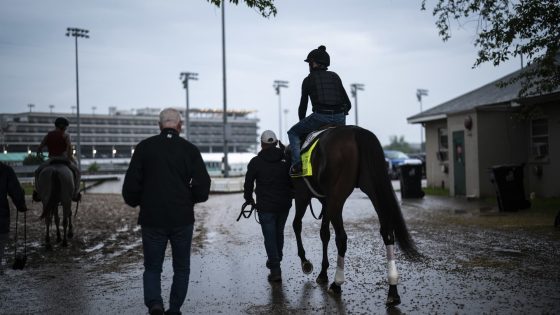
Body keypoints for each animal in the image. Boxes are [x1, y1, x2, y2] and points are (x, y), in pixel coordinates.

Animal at [290, 125, 418, 306]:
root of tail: (356, 132)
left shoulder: (303, 195)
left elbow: (297, 225)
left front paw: (305, 262)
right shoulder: (326, 201)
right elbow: (324, 233)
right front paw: (322, 272)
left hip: (337, 197)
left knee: (341, 238)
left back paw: (337, 283)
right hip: (371, 189)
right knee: (387, 232)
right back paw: (393, 289)